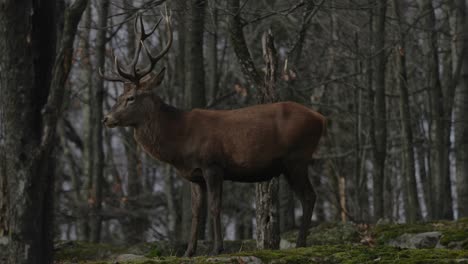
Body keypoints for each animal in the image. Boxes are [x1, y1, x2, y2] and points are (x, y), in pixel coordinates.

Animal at [100, 13, 324, 256]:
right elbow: (197, 212)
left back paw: (301, 243)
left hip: (297, 158)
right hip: (290, 164)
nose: (106, 118)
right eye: (119, 96)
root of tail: (321, 119)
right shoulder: (194, 175)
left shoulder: (213, 165)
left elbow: (216, 207)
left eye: (130, 98)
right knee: (307, 196)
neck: (180, 140)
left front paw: (217, 248)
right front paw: (189, 252)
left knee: (309, 196)